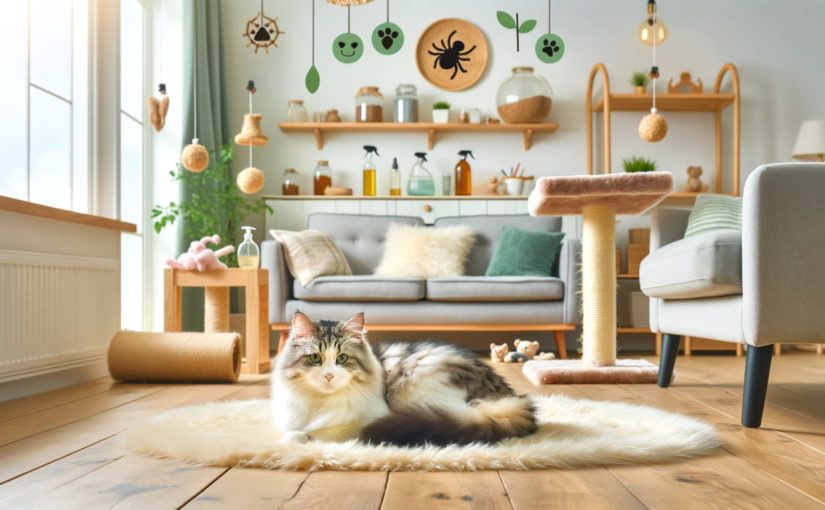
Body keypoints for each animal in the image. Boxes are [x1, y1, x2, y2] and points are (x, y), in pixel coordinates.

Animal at [274, 310, 536, 446]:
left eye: (342, 359)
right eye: (315, 358)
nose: (329, 375)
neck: (321, 402)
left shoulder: (367, 419)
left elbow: (319, 433)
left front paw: (295, 437)